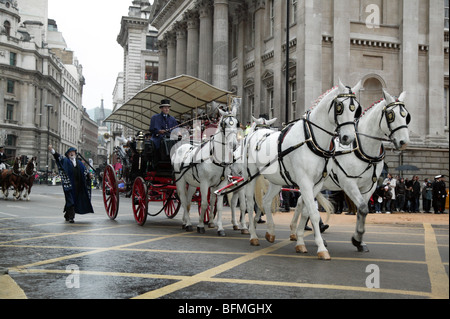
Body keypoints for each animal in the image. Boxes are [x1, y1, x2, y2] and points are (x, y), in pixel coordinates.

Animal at [171, 100, 241, 238]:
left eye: (237, 123)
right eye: (224, 124)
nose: (234, 145)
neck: (214, 157)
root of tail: (181, 147)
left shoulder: (221, 184)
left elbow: (218, 206)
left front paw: (220, 228)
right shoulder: (204, 183)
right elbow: (204, 203)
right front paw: (200, 225)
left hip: (192, 183)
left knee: (188, 201)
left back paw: (185, 222)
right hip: (180, 180)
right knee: (183, 199)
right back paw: (188, 224)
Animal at [241, 80, 360, 260]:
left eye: (356, 109)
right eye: (339, 106)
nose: (348, 138)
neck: (311, 139)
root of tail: (256, 133)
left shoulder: (316, 184)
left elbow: (306, 211)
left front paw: (300, 242)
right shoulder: (304, 182)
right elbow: (313, 213)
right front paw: (321, 248)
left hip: (276, 180)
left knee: (267, 201)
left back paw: (270, 232)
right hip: (250, 176)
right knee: (249, 202)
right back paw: (253, 235)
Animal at [292, 89, 412, 252]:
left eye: (406, 116)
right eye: (391, 115)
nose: (404, 142)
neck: (361, 148)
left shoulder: (369, 186)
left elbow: (363, 210)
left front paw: (359, 241)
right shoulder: (348, 183)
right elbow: (362, 208)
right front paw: (357, 238)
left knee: (301, 202)